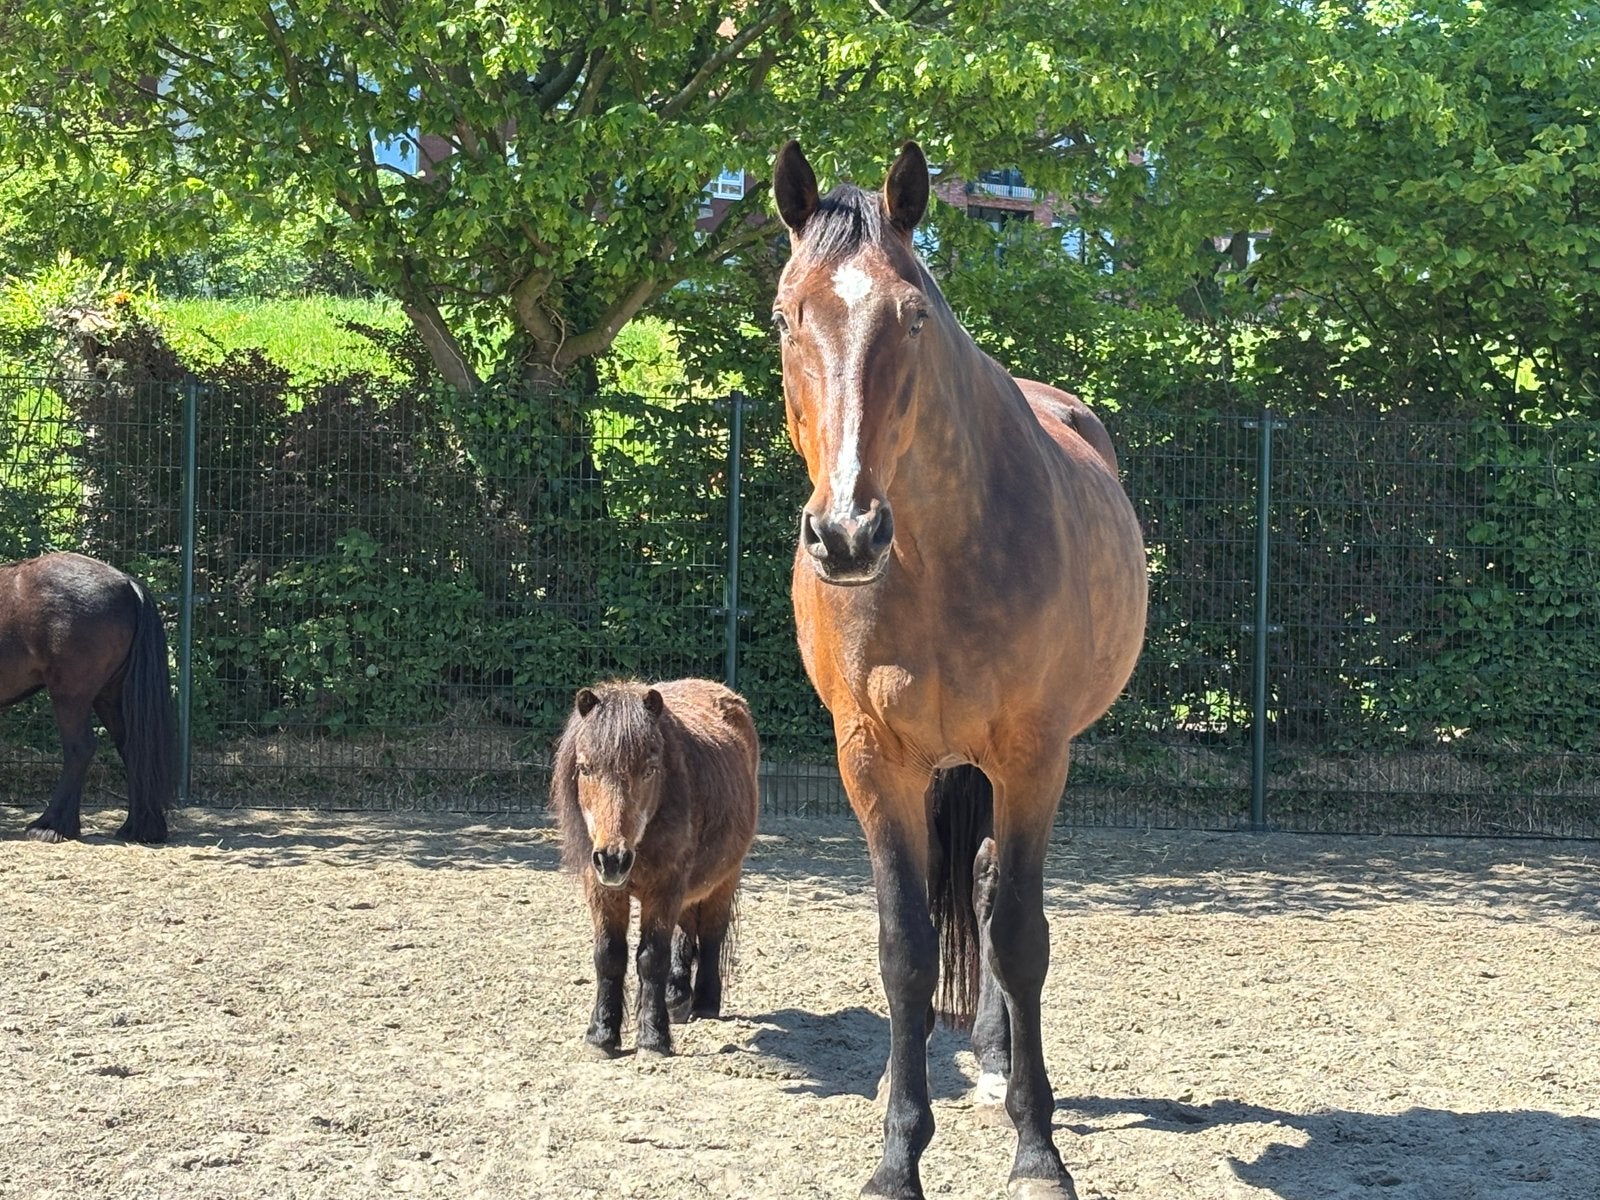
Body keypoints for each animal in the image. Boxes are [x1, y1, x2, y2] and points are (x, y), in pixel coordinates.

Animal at [0, 551, 176, 844]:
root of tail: (127, 584)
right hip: (108, 696)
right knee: (132, 749)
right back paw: (139, 828)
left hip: (71, 694)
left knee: (79, 748)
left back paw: (52, 825)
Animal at [552, 677, 760, 1057]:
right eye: (586, 768)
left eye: (648, 770)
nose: (613, 859)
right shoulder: (602, 889)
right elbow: (609, 956)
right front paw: (601, 1036)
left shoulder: (664, 888)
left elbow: (652, 958)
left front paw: (653, 1038)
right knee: (686, 931)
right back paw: (677, 1000)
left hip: (724, 876)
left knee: (711, 933)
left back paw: (705, 1003)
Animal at [770, 140, 1148, 1199]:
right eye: (785, 314)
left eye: (913, 314)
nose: (846, 534)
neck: (935, 557)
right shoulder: (872, 758)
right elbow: (903, 948)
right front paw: (897, 1153)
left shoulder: (1033, 755)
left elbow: (1019, 936)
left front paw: (1038, 1150)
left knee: (986, 893)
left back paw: (999, 1065)